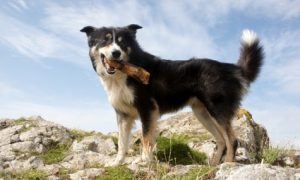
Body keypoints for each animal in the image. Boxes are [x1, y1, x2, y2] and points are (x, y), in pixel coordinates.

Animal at [81, 24, 264, 166]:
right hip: (203, 114)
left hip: (217, 109)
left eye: (122, 42)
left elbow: (146, 138)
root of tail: (232, 68)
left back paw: (228, 164)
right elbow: (121, 142)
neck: (122, 74)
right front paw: (117, 162)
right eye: (105, 40)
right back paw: (212, 165)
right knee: (221, 140)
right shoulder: (123, 115)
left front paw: (144, 161)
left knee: (232, 140)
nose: (116, 53)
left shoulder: (147, 109)